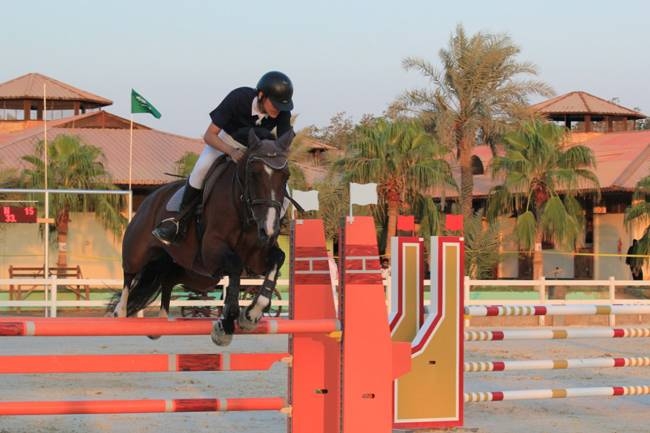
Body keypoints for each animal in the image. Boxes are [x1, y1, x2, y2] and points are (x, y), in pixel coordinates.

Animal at [109, 127, 294, 344]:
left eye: (286, 176)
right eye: (254, 174)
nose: (269, 229)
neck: (242, 209)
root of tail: (150, 198)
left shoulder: (257, 257)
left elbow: (277, 258)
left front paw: (252, 314)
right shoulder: (212, 249)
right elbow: (235, 265)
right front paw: (226, 324)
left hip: (195, 274)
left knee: (167, 279)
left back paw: (161, 322)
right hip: (137, 250)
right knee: (129, 274)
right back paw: (119, 312)